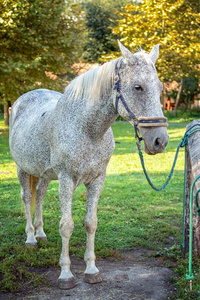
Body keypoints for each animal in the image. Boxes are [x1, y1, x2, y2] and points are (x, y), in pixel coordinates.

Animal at [9, 41, 169, 288]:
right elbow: (66, 226)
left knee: (40, 195)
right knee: (27, 198)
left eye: (160, 88)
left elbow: (90, 223)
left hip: (44, 174)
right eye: (138, 87)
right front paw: (66, 274)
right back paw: (30, 238)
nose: (160, 141)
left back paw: (41, 234)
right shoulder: (66, 179)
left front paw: (92, 270)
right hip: (23, 169)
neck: (87, 130)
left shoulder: (97, 179)